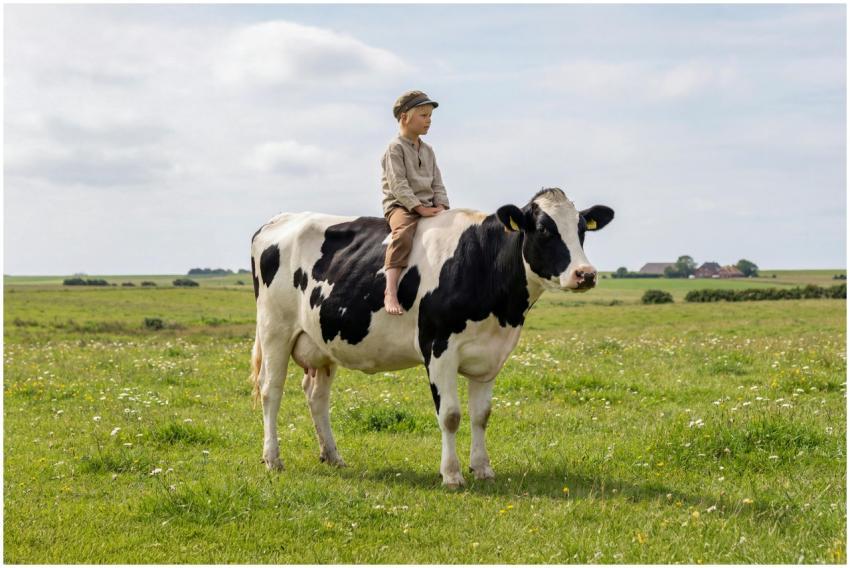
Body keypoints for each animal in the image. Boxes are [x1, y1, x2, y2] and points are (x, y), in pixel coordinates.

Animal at [249, 187, 614, 487]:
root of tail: (278, 219)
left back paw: (333, 456)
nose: (586, 274)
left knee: (317, 396)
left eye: (581, 230)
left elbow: (482, 415)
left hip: (322, 340)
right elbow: (450, 415)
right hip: (274, 328)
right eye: (544, 229)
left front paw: (483, 469)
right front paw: (451, 474)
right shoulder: (439, 348)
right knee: (271, 390)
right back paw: (273, 459)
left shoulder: (490, 354)